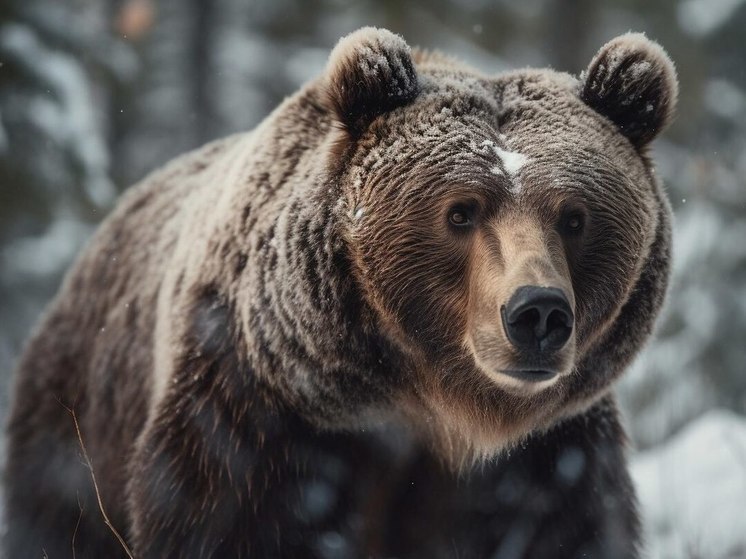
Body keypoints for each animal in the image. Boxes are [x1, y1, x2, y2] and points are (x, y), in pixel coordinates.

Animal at [4, 27, 676, 559]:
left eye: (574, 217)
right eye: (461, 212)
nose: (536, 312)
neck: (435, 413)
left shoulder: (549, 459)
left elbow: (564, 529)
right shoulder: (257, 420)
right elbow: (225, 523)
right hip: (78, 422)